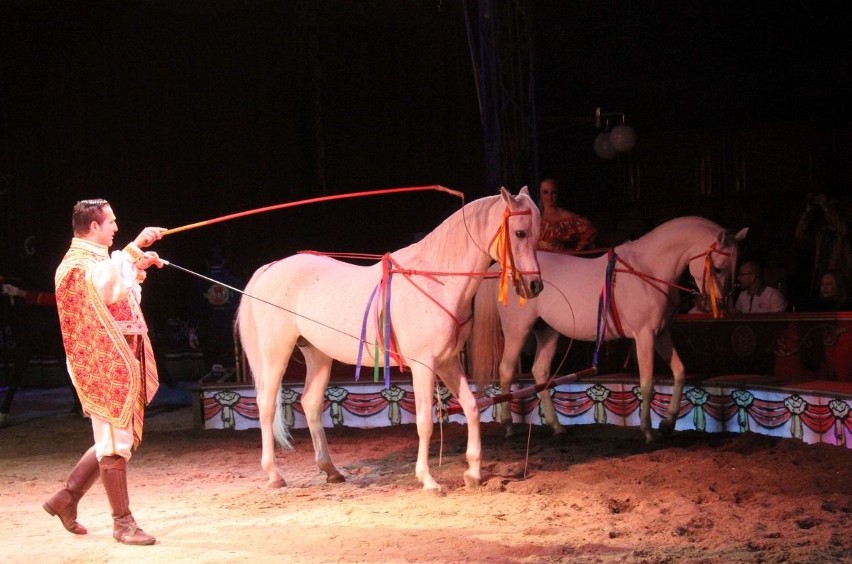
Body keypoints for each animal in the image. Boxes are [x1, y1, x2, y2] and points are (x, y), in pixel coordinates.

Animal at [236, 187, 544, 492]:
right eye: (519, 233)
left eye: (537, 234)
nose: (534, 286)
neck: (436, 280)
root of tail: (271, 268)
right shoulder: (424, 366)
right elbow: (425, 421)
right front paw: (428, 479)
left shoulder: (448, 362)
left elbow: (471, 407)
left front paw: (474, 473)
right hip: (276, 352)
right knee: (266, 403)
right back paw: (274, 474)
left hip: (317, 353)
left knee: (310, 402)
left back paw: (330, 470)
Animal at [466, 216, 744, 440]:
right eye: (717, 268)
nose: (720, 304)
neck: (647, 269)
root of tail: (504, 270)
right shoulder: (644, 336)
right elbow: (647, 383)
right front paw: (648, 431)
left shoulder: (661, 334)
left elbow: (680, 372)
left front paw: (667, 423)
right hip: (517, 330)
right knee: (506, 370)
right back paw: (508, 425)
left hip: (548, 332)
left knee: (540, 372)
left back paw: (557, 427)